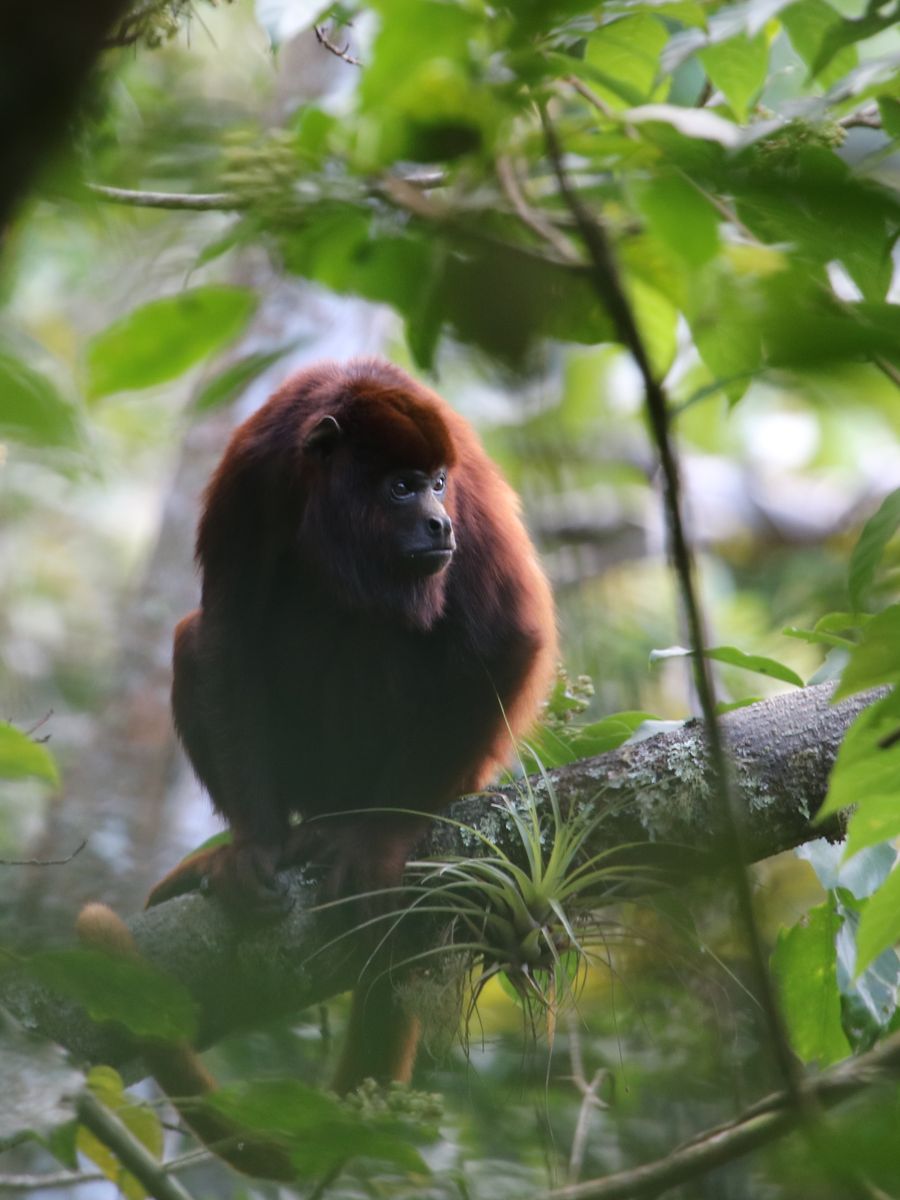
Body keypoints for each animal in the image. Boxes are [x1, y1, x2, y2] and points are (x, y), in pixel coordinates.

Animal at [148, 357, 556, 1099]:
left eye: (437, 483)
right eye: (400, 487)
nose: (438, 522)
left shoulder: (469, 489)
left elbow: (505, 636)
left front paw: (378, 838)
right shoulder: (250, 478)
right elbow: (225, 636)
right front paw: (254, 846)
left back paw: (348, 824)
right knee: (194, 640)